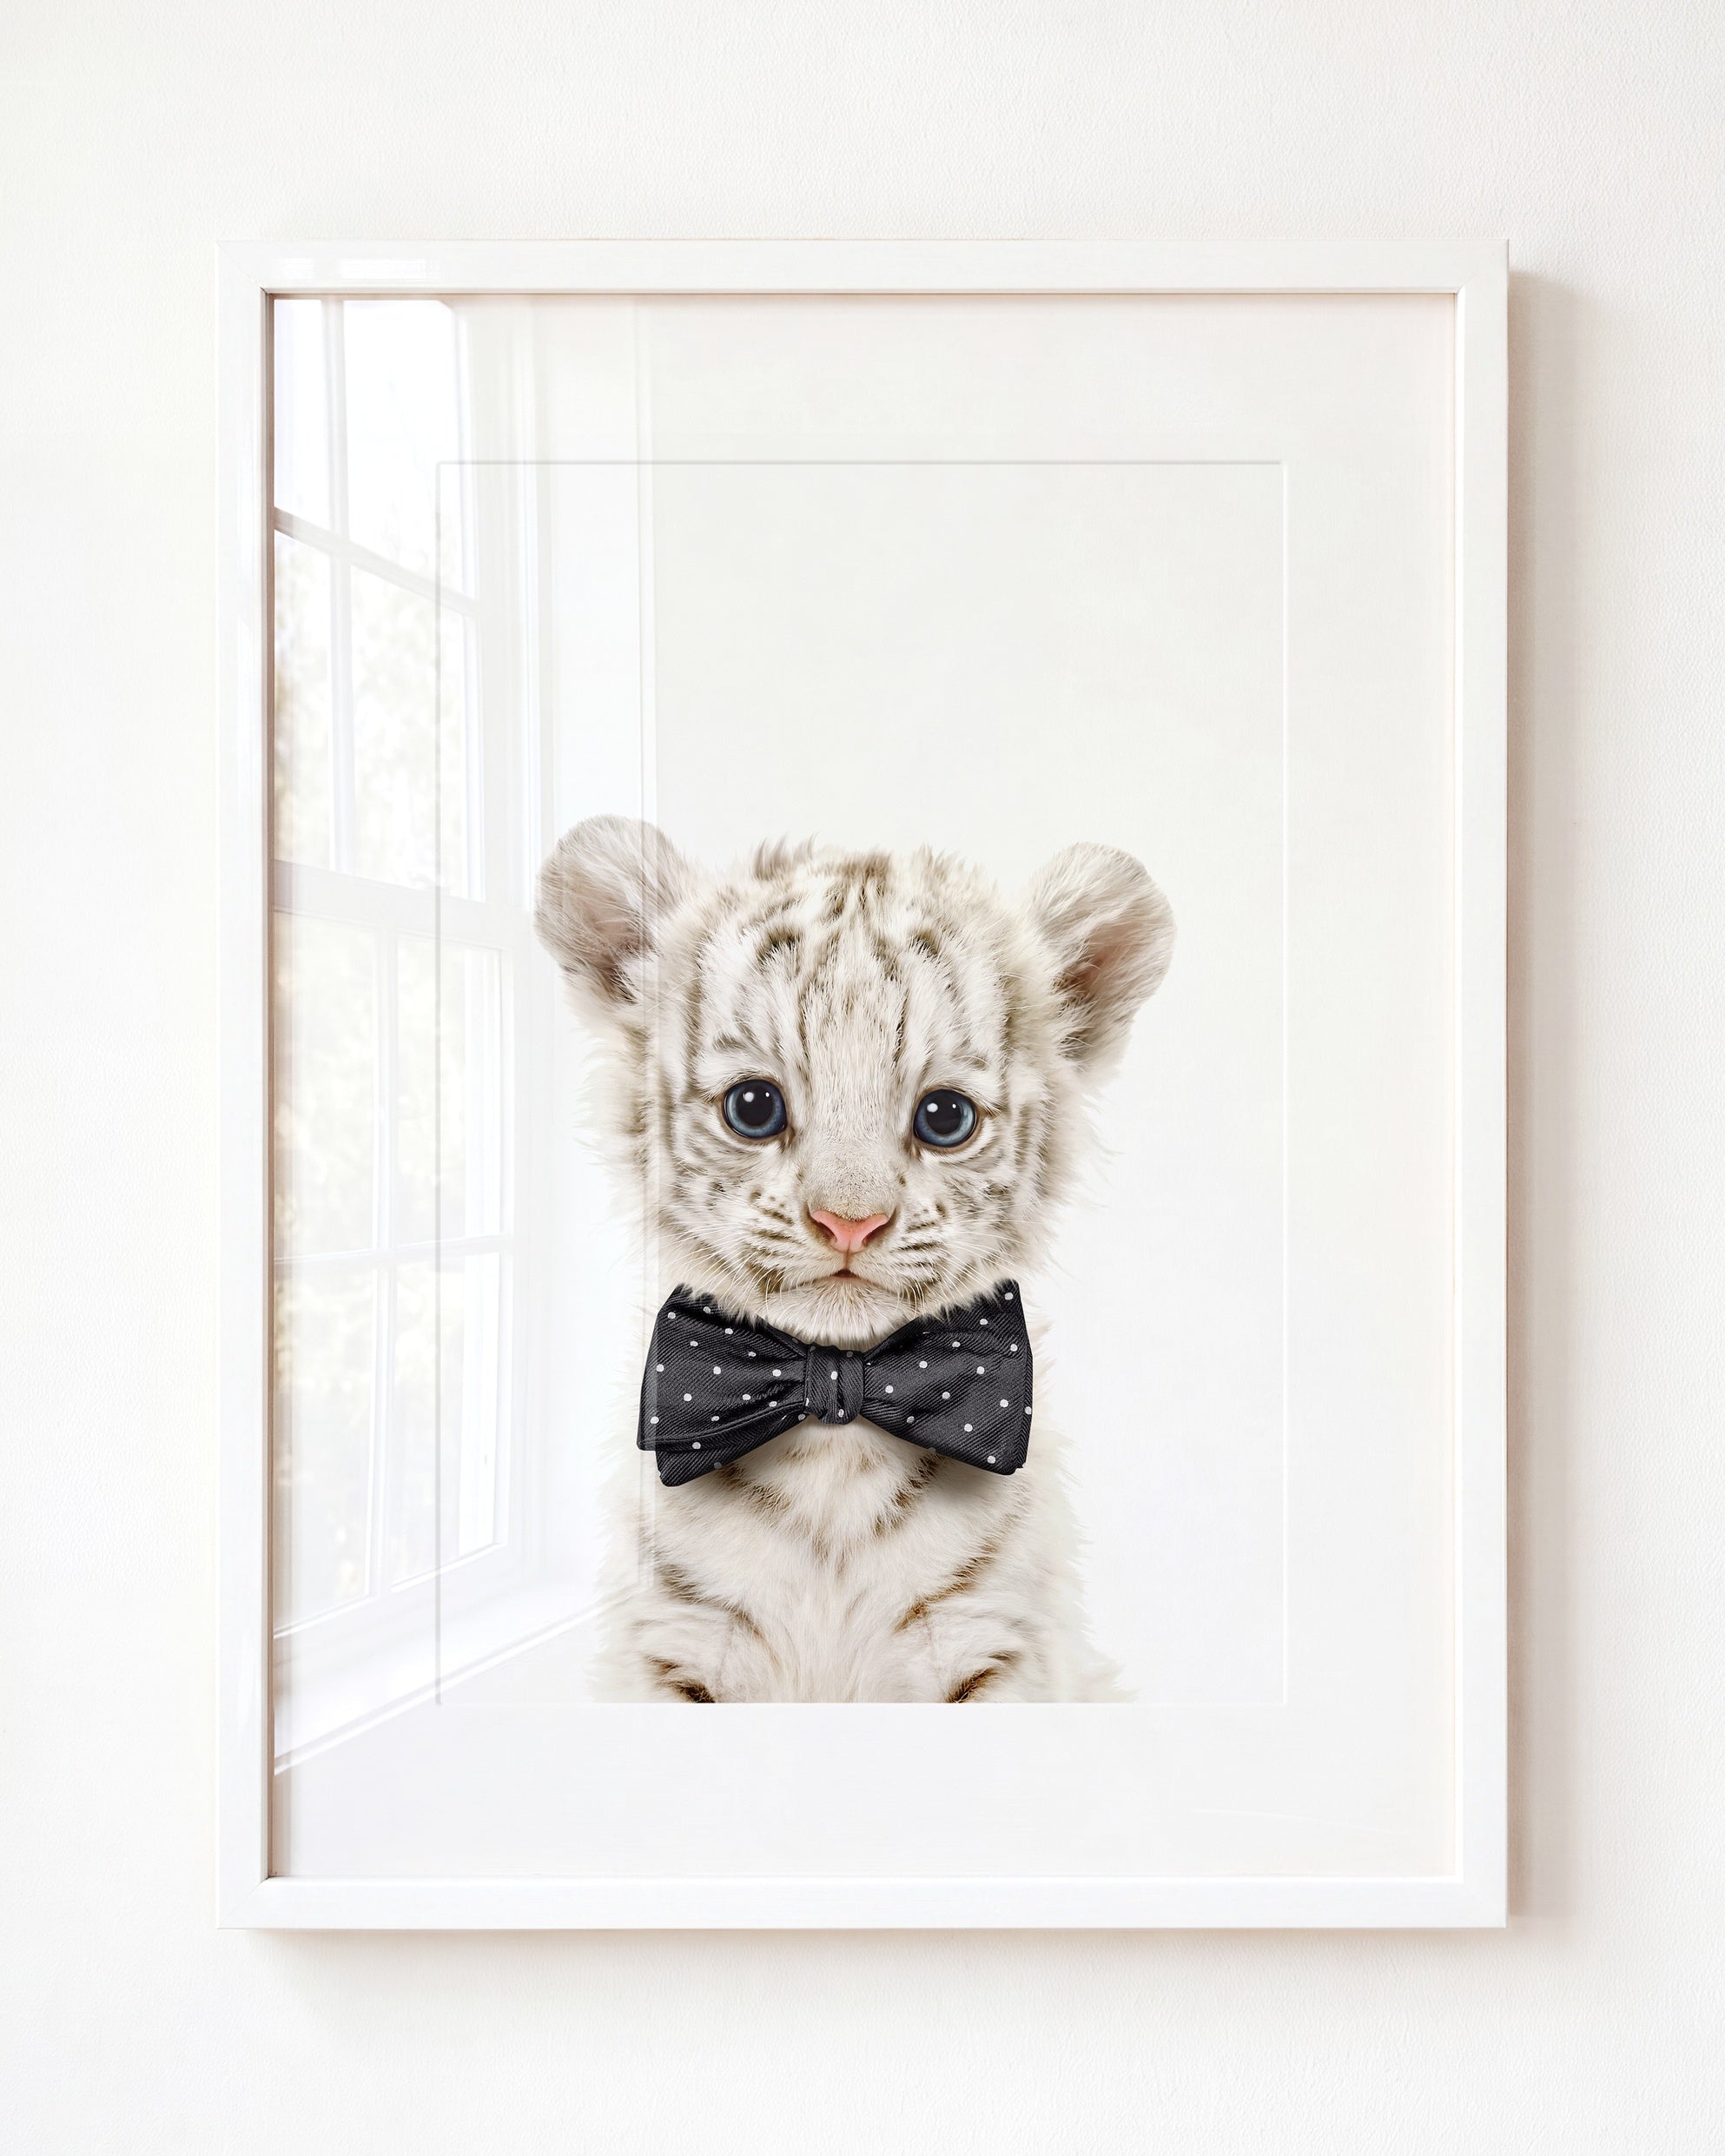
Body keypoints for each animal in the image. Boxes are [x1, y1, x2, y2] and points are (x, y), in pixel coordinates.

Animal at [534, 816, 1174, 1702]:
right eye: (753, 1107)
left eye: (946, 1118)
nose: (848, 1222)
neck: (836, 1421)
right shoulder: (673, 1647)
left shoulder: (996, 1647)